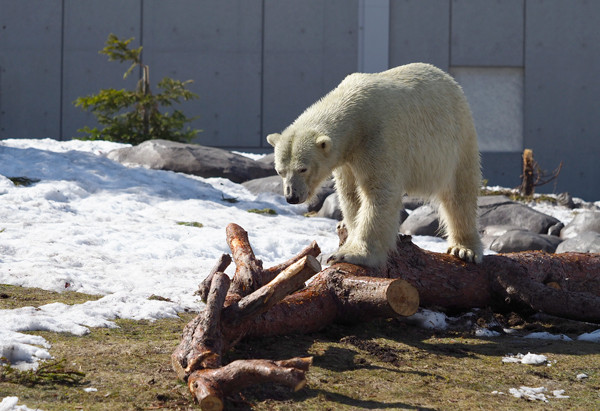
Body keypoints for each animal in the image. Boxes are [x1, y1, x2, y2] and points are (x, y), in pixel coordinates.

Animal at [268, 61, 482, 268]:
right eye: (280, 171)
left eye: (303, 169)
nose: (292, 197)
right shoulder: (347, 160)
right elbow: (350, 194)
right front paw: (349, 236)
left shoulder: (379, 137)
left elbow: (378, 192)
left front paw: (351, 254)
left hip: (457, 139)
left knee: (460, 193)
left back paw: (464, 249)